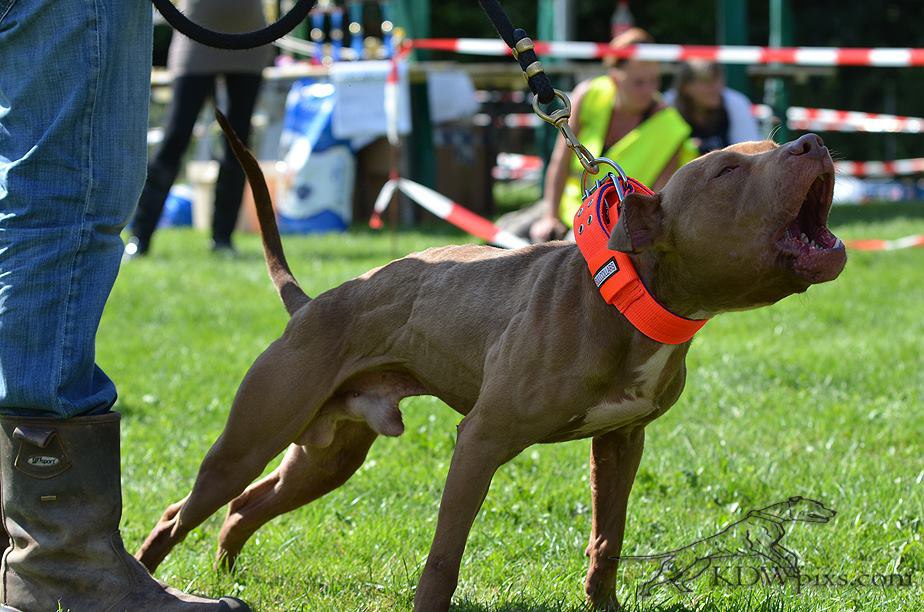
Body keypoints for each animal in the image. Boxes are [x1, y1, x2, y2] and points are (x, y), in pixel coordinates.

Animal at [135, 113, 844, 608]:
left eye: (774, 143)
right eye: (726, 172)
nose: (812, 142)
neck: (622, 297)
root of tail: (311, 305)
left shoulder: (621, 442)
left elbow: (606, 542)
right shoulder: (479, 439)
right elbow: (444, 558)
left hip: (326, 456)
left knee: (244, 507)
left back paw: (227, 572)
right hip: (248, 440)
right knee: (184, 510)